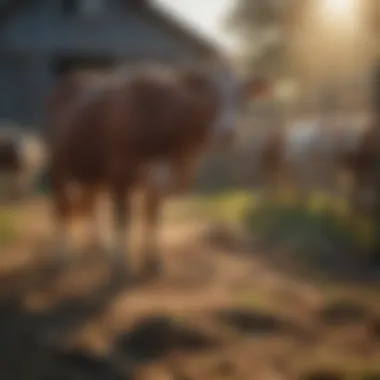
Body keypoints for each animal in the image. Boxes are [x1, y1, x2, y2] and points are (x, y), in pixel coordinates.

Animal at [46, 61, 268, 276]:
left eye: (241, 95)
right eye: (209, 92)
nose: (227, 132)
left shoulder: (158, 181)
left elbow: (153, 217)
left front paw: (153, 261)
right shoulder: (121, 174)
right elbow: (123, 220)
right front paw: (120, 265)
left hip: (93, 172)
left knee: (90, 202)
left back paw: (98, 248)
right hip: (59, 165)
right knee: (62, 206)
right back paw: (62, 256)